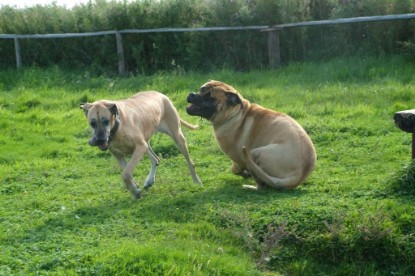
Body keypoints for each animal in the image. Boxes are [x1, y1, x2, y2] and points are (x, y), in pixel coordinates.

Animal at [187, 81, 316, 191]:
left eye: (209, 97)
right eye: (201, 89)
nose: (191, 94)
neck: (235, 114)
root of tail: (299, 175)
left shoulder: (237, 160)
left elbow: (235, 169)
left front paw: (244, 174)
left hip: (255, 153)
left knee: (261, 185)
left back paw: (250, 186)